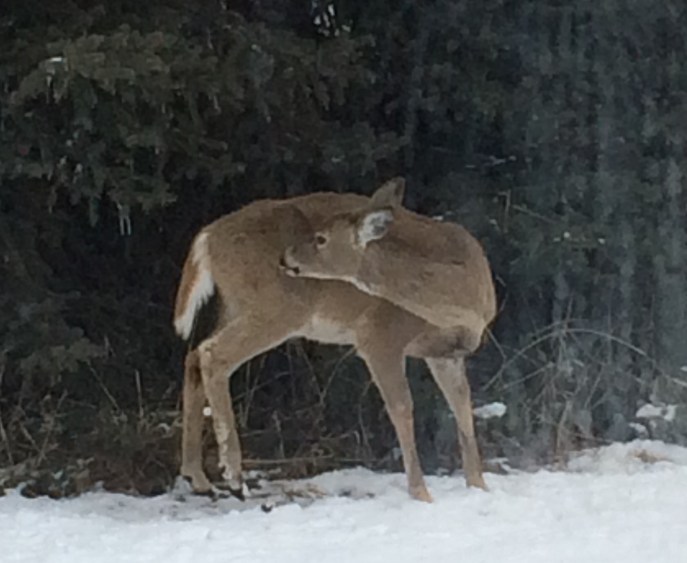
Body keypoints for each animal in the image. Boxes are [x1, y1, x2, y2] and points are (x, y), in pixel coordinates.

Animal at [174, 179, 495, 503]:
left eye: (321, 238)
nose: (285, 257)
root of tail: (206, 238)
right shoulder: (379, 335)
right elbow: (402, 408)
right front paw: (421, 493)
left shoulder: (446, 352)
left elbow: (462, 406)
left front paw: (479, 485)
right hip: (277, 309)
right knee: (212, 354)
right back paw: (234, 476)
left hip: (236, 305)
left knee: (193, 356)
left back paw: (197, 477)